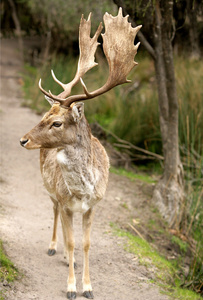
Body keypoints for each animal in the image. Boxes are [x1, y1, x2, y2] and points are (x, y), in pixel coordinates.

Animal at [19, 8, 142, 298]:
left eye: (56, 123)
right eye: (44, 115)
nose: (23, 139)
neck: (83, 191)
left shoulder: (92, 206)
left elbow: (84, 244)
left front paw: (87, 287)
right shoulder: (65, 201)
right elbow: (72, 241)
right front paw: (71, 287)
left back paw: (67, 258)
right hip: (51, 190)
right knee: (55, 214)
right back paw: (55, 247)